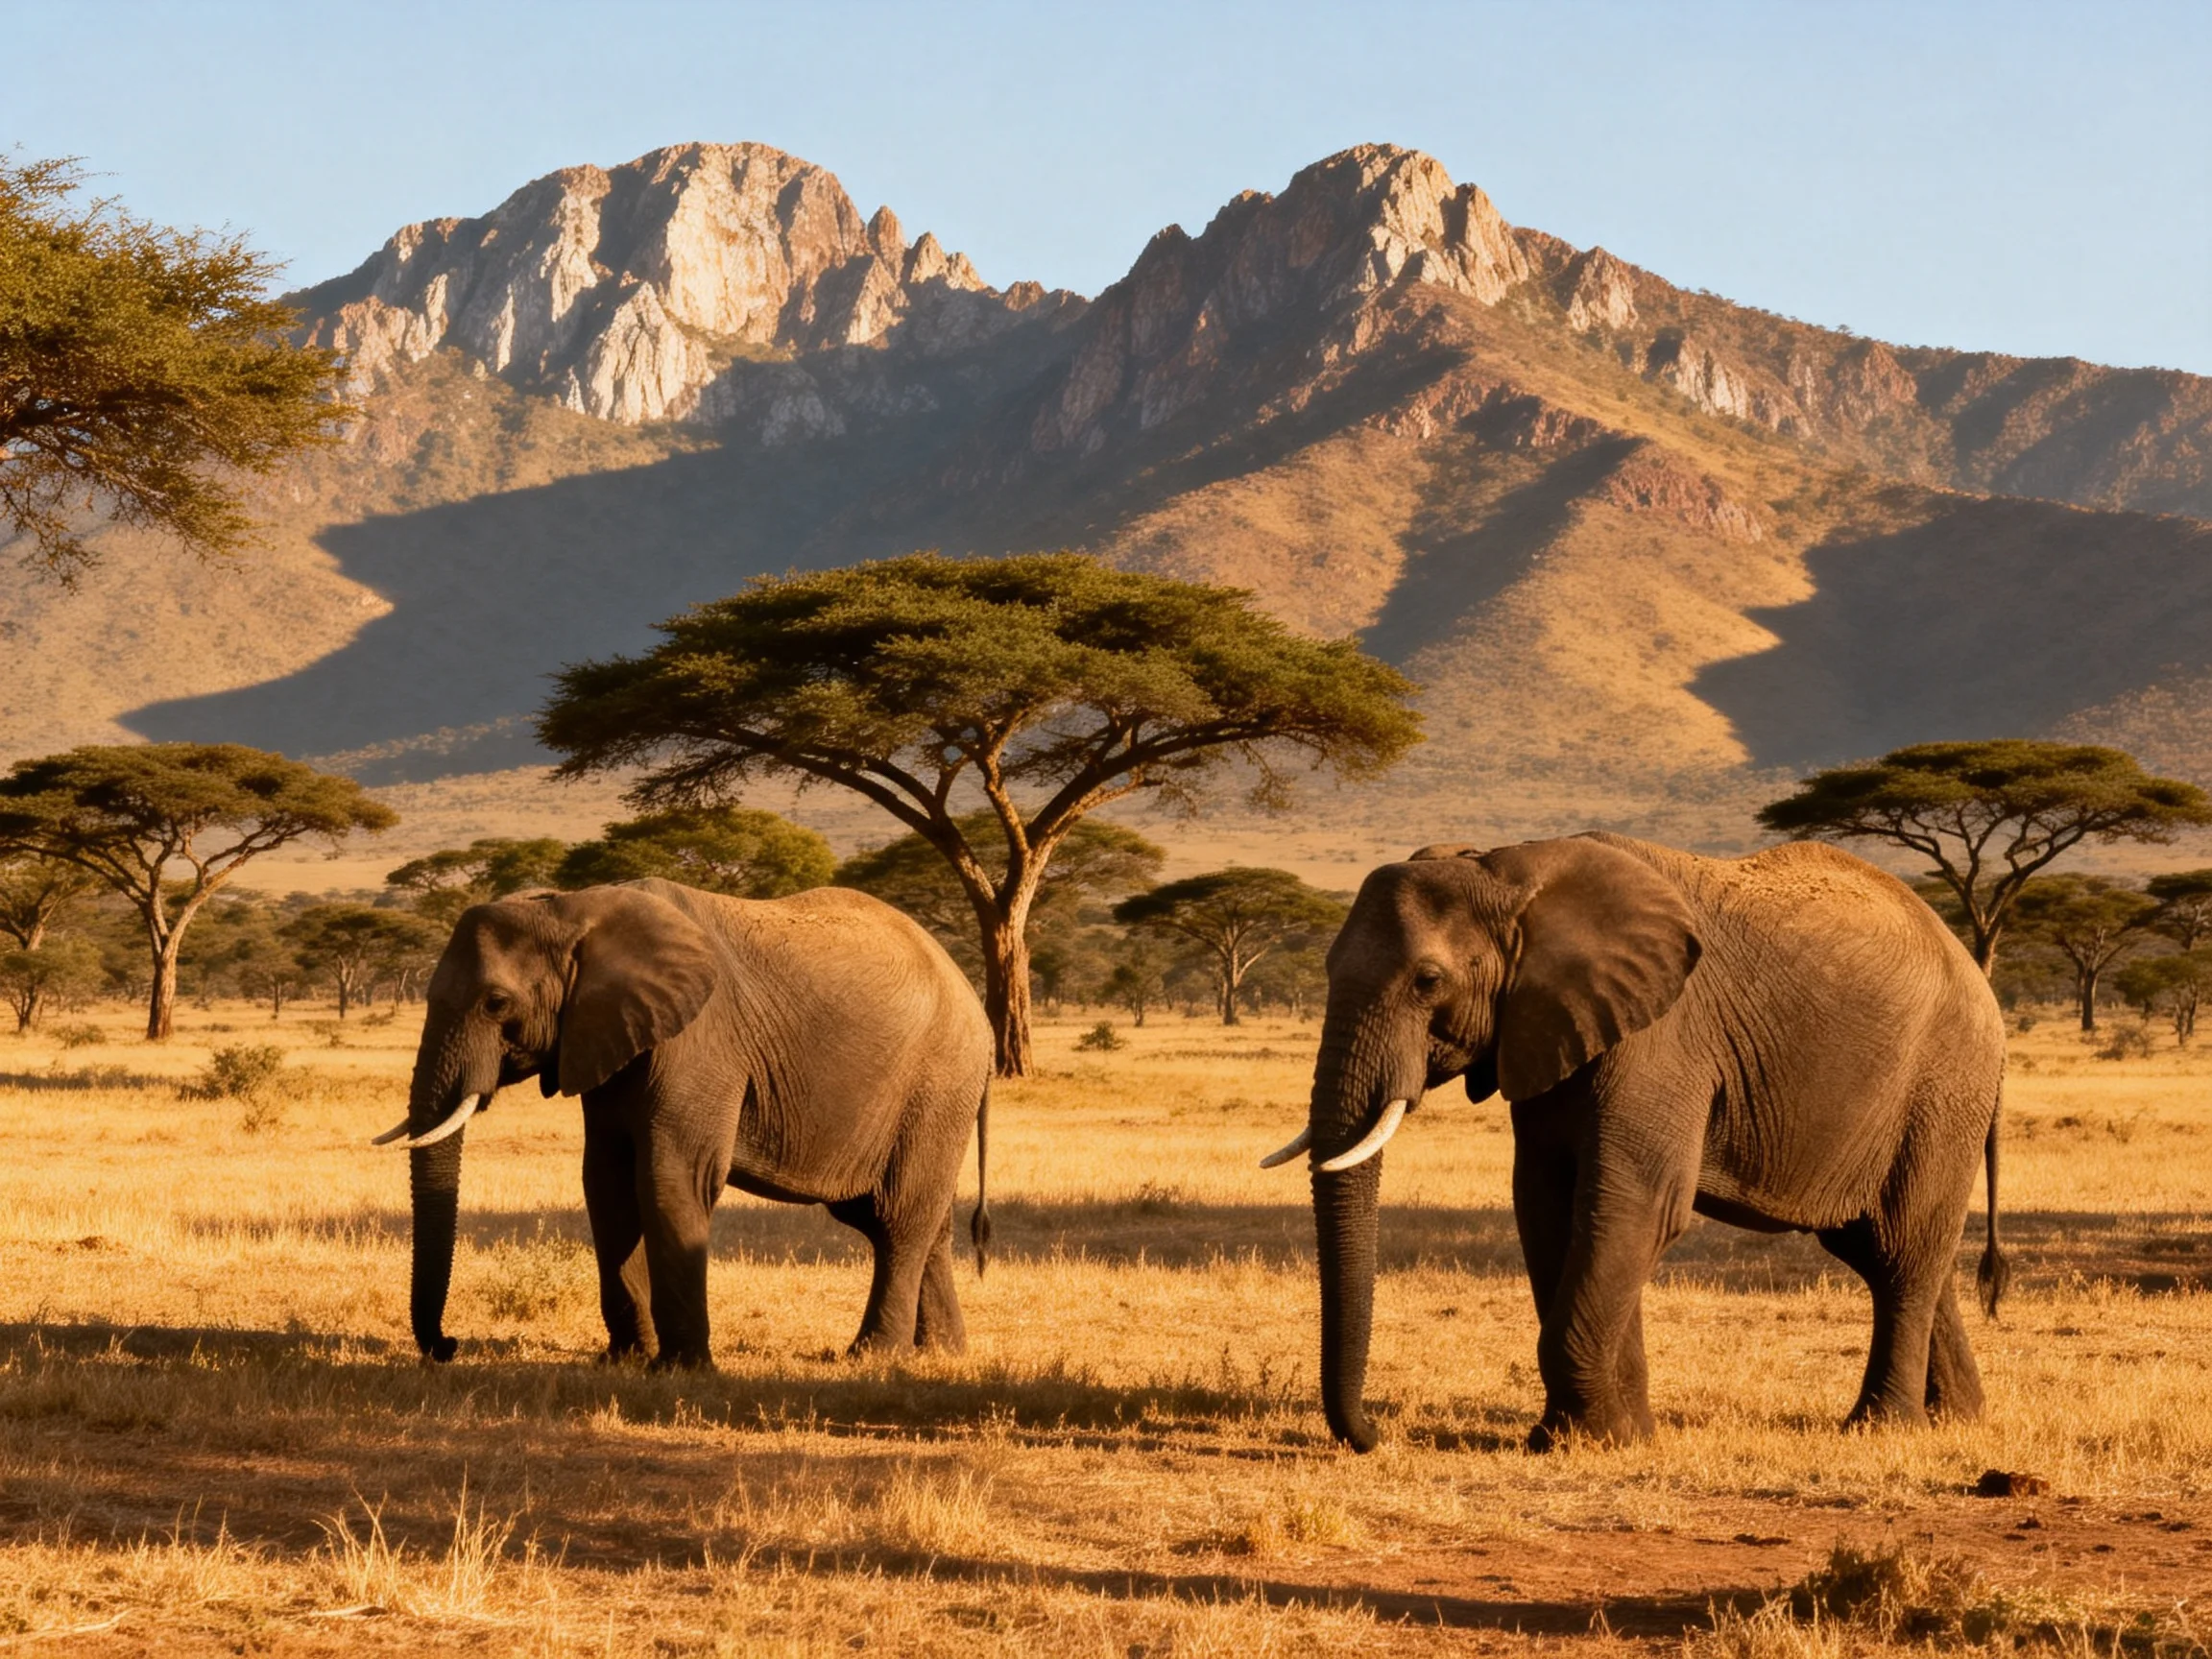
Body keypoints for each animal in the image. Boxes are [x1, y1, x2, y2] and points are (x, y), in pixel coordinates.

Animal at [374, 879, 995, 1368]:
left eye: (496, 1003)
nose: (448, 1345)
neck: (574, 908)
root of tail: (974, 1000)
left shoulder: (699, 1040)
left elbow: (671, 1178)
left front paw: (680, 1369)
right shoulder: (606, 1037)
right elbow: (606, 1183)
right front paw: (624, 1360)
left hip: (940, 1081)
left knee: (897, 1217)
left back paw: (872, 1356)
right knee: (919, 1220)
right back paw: (942, 1353)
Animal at [1261, 832, 2008, 1453]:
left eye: (1428, 981)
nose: (1375, 1436)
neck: (1509, 872)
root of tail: (1977, 972)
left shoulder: (1662, 1037)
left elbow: (1633, 1206)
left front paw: (1578, 1442)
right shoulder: (1551, 1026)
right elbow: (1550, 1207)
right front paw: (1621, 1435)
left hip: (1945, 1085)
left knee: (1902, 1249)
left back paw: (1882, 1429)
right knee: (1886, 1250)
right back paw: (1958, 1419)